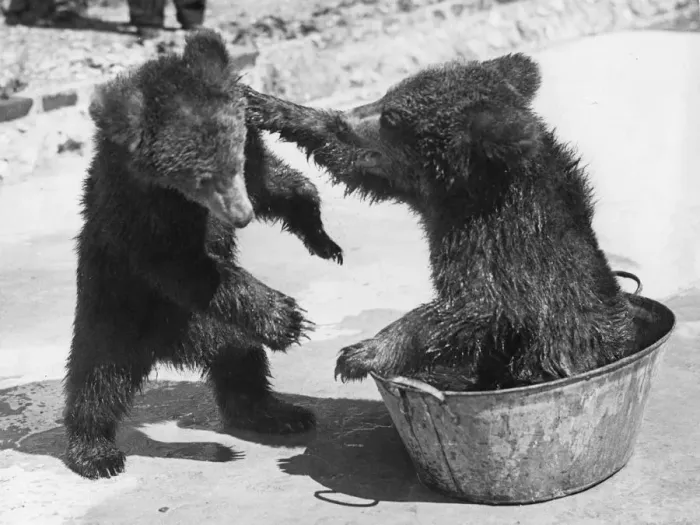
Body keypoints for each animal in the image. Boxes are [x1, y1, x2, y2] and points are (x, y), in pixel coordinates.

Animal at [63, 29, 343, 480]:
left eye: (234, 157)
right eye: (199, 176)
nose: (242, 218)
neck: (178, 200)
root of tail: (169, 350)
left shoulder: (251, 171)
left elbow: (280, 185)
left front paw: (323, 240)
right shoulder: (140, 215)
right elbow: (184, 266)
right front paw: (289, 316)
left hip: (217, 328)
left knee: (242, 359)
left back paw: (279, 412)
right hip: (116, 318)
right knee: (97, 382)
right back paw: (95, 452)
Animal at [242, 53, 635, 392]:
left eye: (392, 117)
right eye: (388, 97)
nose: (352, 115)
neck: (467, 193)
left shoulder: (501, 247)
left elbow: (474, 307)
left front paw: (360, 354)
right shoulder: (422, 193)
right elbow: (345, 157)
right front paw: (264, 104)